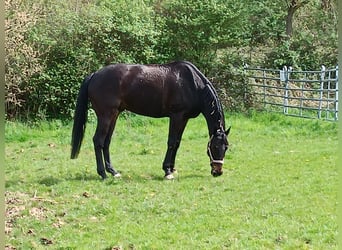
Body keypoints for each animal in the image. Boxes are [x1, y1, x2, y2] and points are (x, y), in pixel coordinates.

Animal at [70, 61, 230, 181]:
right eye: (215, 146)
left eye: (226, 147)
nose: (217, 172)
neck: (192, 84)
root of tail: (94, 75)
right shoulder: (177, 116)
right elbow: (172, 142)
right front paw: (167, 171)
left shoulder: (184, 118)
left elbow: (177, 143)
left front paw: (172, 168)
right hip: (106, 116)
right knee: (98, 140)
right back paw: (103, 174)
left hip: (114, 115)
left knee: (106, 142)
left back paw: (113, 171)